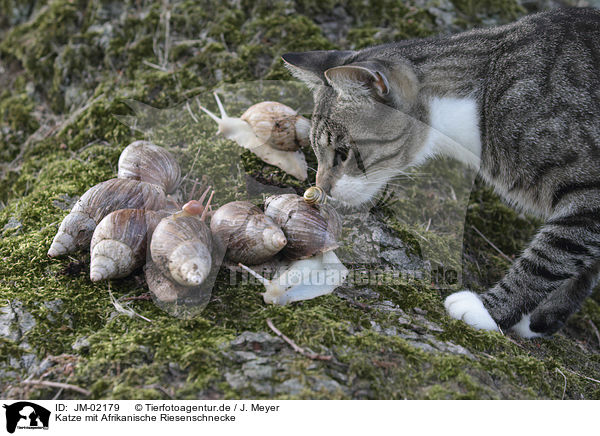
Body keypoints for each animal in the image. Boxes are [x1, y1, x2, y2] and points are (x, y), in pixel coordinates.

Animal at [284, 9, 600, 338]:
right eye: (315, 149)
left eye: (344, 153)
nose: (321, 187)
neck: (486, 96)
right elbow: (582, 268)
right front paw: (542, 317)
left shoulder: (590, 195)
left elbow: (551, 256)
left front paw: (489, 311)